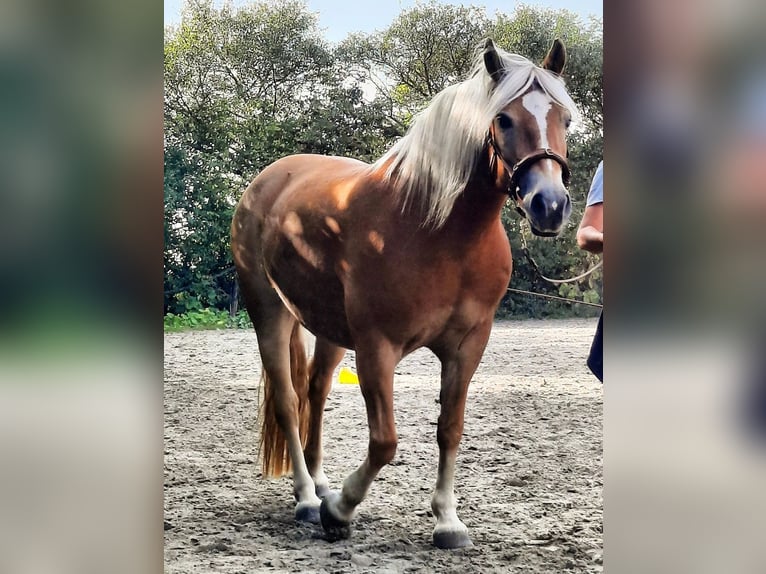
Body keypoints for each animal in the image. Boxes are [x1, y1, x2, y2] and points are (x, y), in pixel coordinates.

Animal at [231, 38, 580, 552]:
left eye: (566, 119)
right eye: (503, 119)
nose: (550, 205)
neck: (439, 233)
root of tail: (269, 179)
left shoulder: (467, 346)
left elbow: (450, 429)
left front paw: (447, 520)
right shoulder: (378, 348)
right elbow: (385, 442)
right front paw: (340, 510)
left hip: (330, 330)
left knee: (315, 390)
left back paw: (319, 482)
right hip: (269, 312)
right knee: (289, 402)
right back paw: (309, 498)